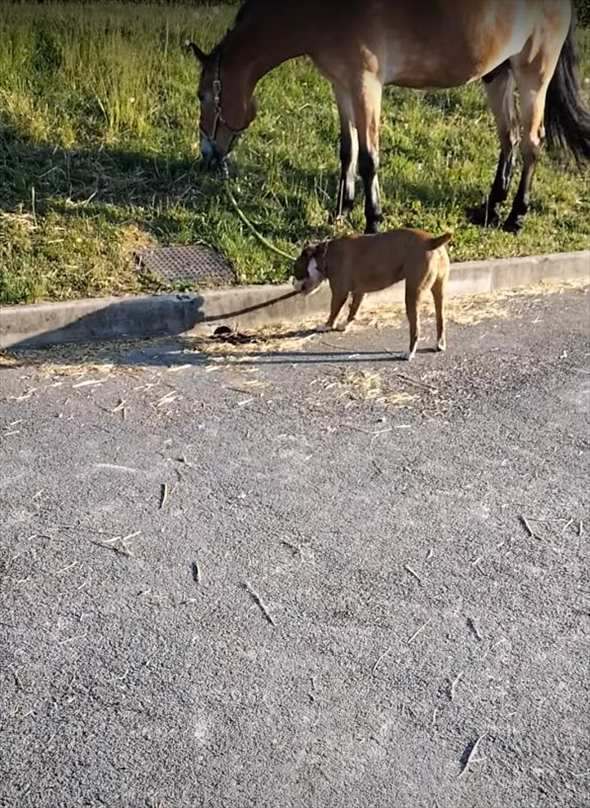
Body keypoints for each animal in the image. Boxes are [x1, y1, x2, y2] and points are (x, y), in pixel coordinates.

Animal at [188, 0, 590, 234]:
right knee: (509, 138)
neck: (322, 13)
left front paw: (373, 222)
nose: (208, 154)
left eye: (202, 95)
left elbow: (369, 158)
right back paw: (490, 210)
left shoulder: (366, 86)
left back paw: (515, 217)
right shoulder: (342, 86)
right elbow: (347, 151)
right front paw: (341, 211)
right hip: (497, 75)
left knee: (531, 144)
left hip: (533, 74)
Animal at [294, 227, 454, 360]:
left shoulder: (339, 292)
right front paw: (346, 325)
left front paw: (326, 326)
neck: (325, 255)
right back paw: (439, 344)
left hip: (413, 294)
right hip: (439, 291)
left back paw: (409, 353)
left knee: (415, 328)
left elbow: (334, 311)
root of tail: (431, 241)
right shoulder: (359, 292)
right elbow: (353, 310)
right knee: (440, 318)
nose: (293, 283)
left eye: (296, 271)